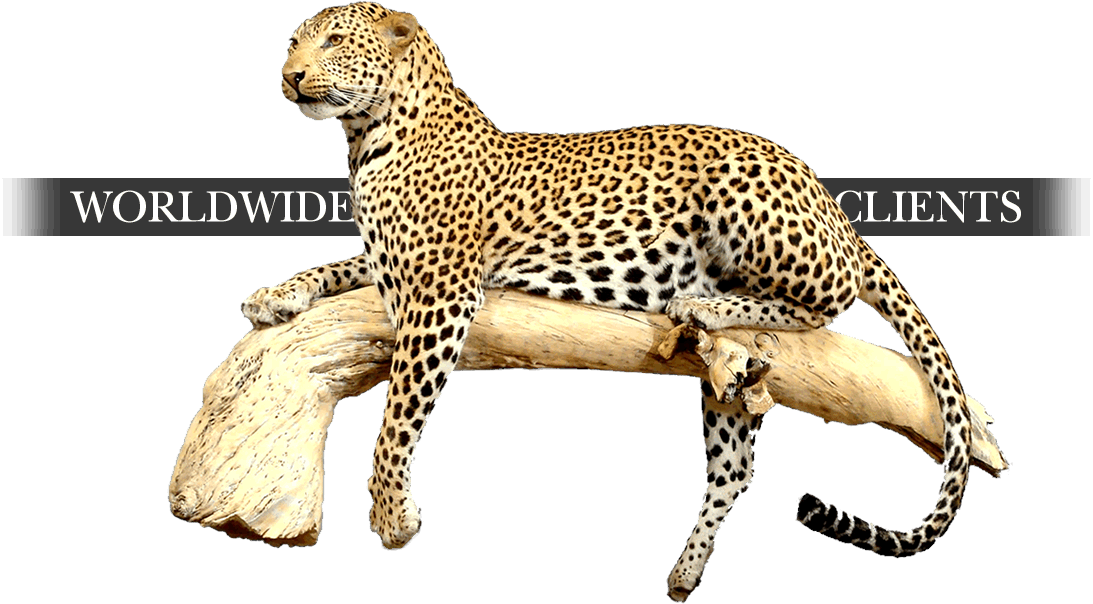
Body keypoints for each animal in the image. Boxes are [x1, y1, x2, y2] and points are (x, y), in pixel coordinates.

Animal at [241, 3, 973, 600]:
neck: (364, 136)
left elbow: (396, 421)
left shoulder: (438, 294)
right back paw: (684, 570)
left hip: (751, 203)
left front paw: (393, 516)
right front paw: (274, 296)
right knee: (736, 466)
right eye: (291, 41)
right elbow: (336, 265)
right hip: (730, 381)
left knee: (829, 295)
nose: (289, 77)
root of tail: (829, 198)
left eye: (334, 40)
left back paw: (707, 303)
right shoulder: (391, 267)